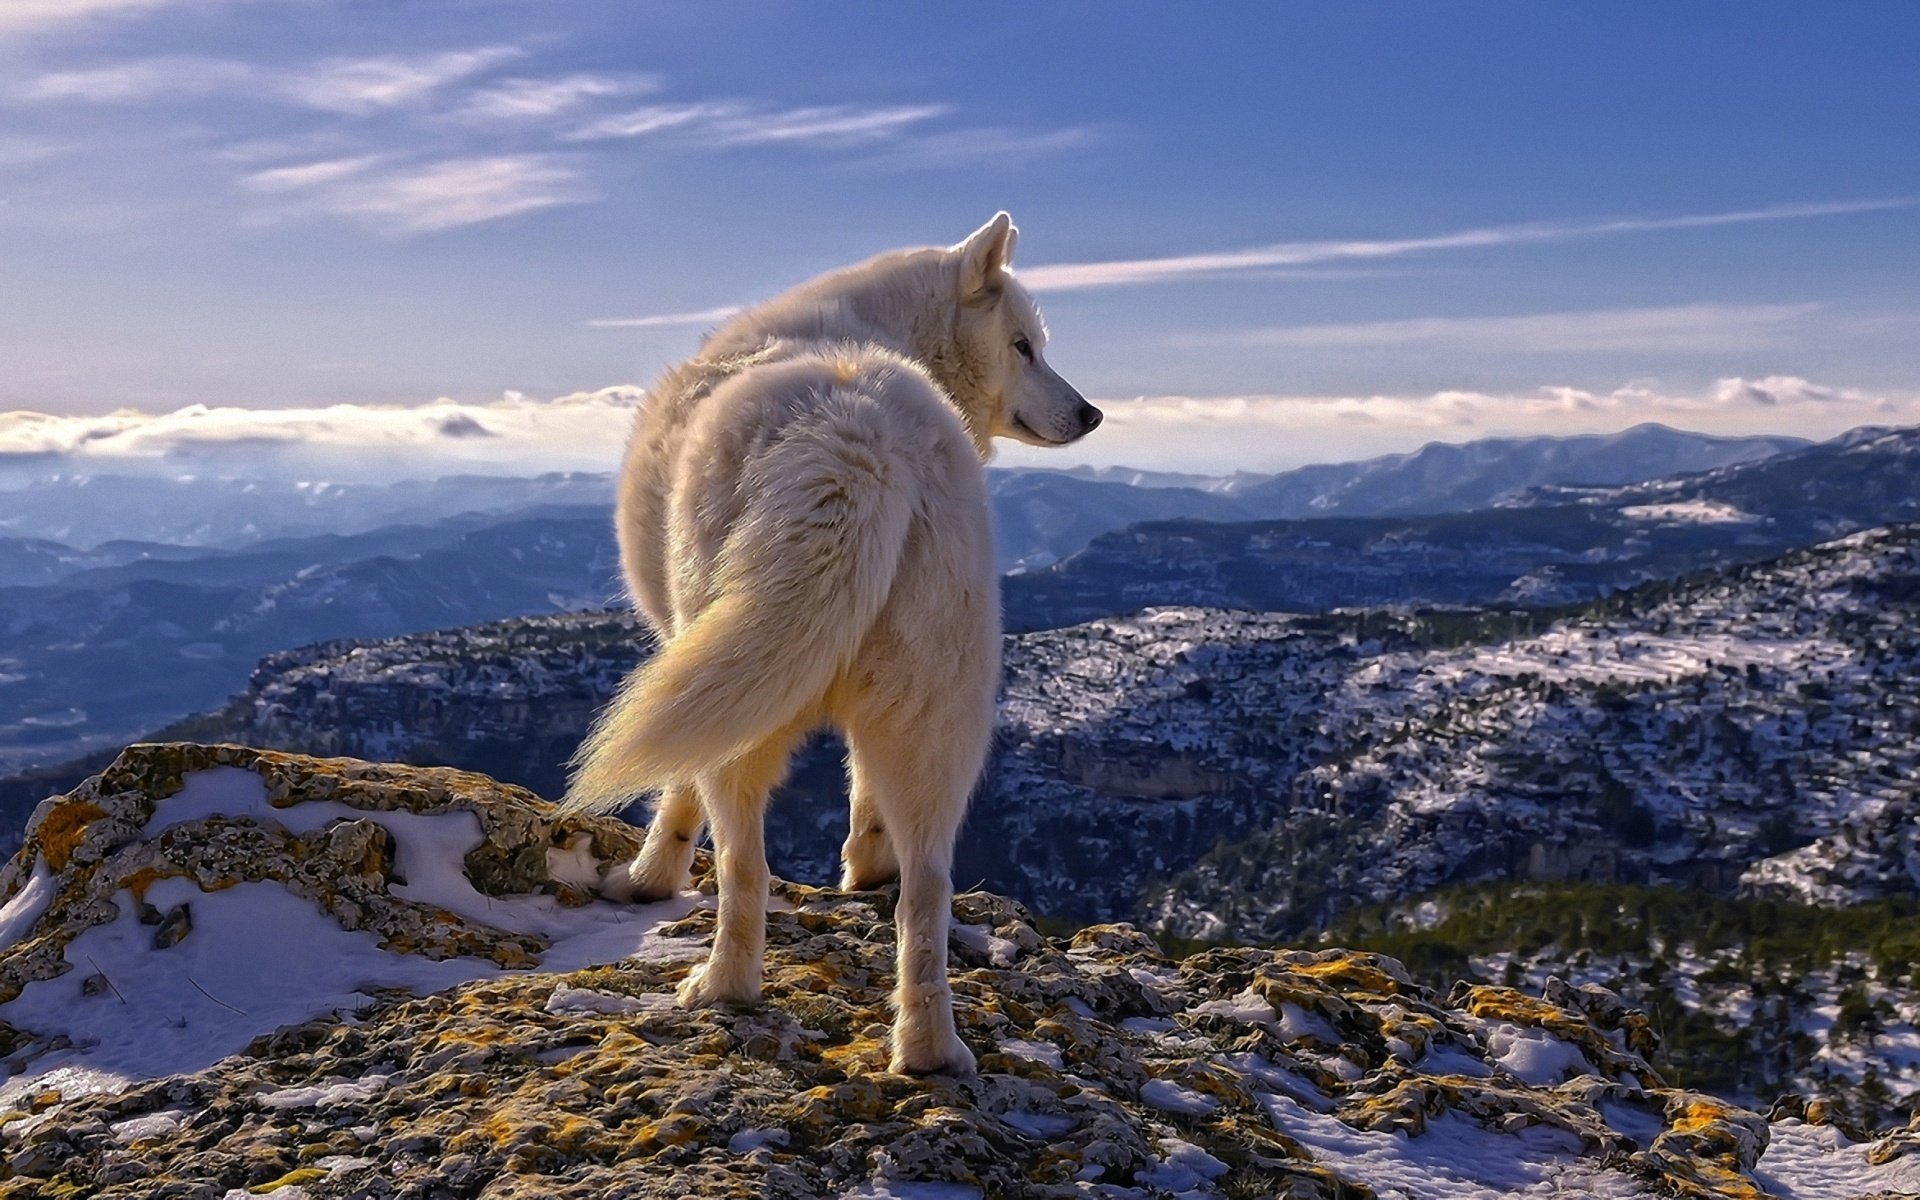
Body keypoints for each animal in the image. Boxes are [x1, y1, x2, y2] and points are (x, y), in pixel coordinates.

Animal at [559, 213, 1099, 1074]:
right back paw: (928, 1048)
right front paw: (866, 865)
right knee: (928, 888)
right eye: (1024, 346)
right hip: (935, 713)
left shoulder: (689, 649)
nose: (1091, 414)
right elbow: (862, 794)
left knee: (745, 865)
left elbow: (675, 793)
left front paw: (648, 878)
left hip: (747, 703)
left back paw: (721, 987)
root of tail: (861, 442)